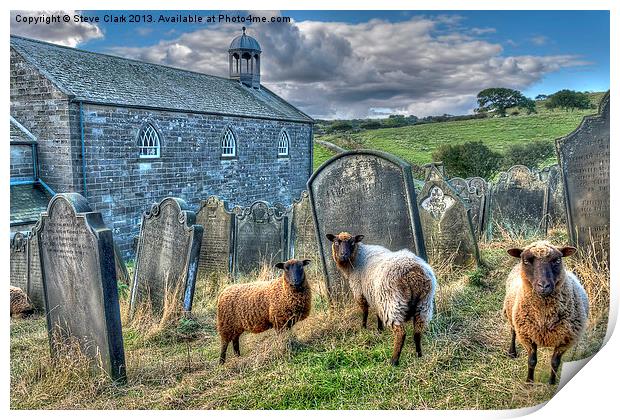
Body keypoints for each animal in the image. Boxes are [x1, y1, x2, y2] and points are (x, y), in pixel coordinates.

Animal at [324, 231, 436, 366]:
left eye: (352, 242)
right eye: (336, 242)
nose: (343, 255)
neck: (357, 257)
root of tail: (413, 273)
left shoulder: (360, 292)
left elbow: (365, 311)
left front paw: (363, 327)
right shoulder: (375, 296)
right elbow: (377, 313)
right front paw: (379, 329)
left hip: (392, 304)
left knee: (401, 333)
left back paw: (394, 361)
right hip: (423, 305)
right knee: (418, 332)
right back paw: (419, 354)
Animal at [502, 241, 588, 386]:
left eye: (557, 260)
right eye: (526, 261)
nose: (543, 286)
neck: (544, 317)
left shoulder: (565, 340)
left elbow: (555, 363)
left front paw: (551, 383)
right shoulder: (527, 336)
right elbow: (531, 361)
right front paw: (529, 382)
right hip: (511, 315)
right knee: (513, 331)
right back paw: (512, 352)